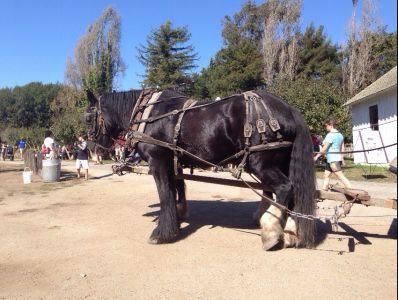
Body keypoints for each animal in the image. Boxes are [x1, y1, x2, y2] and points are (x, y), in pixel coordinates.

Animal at [85, 89, 316, 251]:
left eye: (87, 118)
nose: (93, 149)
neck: (149, 115)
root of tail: (289, 109)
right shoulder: (173, 162)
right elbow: (176, 189)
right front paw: (177, 219)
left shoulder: (158, 161)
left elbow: (165, 195)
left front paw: (162, 233)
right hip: (281, 163)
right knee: (293, 194)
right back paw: (290, 232)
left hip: (261, 163)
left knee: (285, 188)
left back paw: (271, 231)